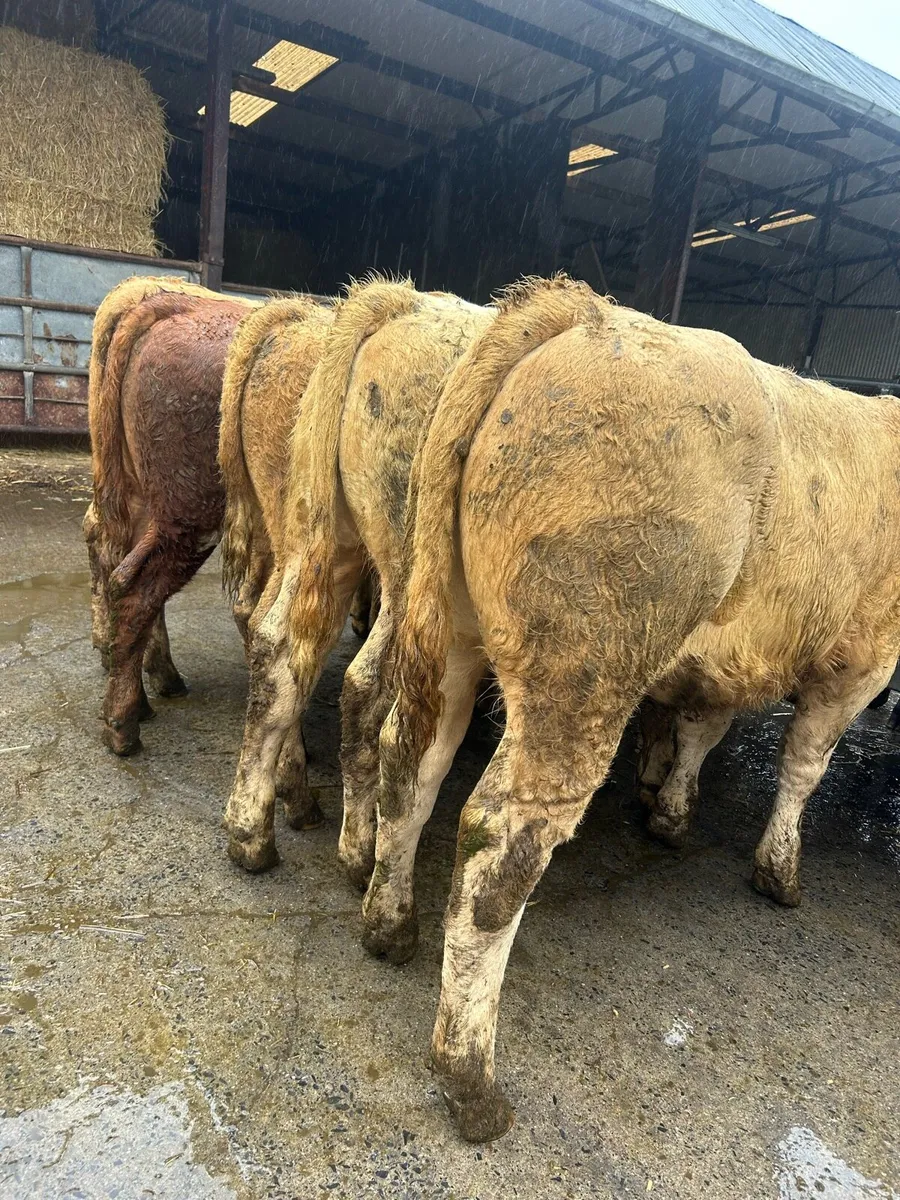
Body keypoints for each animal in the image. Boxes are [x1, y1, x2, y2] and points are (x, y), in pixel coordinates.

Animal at [87, 277, 255, 755]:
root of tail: (165, 303)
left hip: (135, 499)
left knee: (110, 558)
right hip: (188, 518)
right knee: (135, 587)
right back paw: (124, 724)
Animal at [221, 278, 493, 884]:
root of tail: (398, 304)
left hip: (319, 538)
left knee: (274, 640)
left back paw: (256, 829)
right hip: (406, 571)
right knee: (365, 686)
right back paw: (356, 848)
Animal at [375, 275, 900, 1141]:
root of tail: (576, 312)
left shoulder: (726, 664)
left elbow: (701, 728)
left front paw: (672, 813)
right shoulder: (860, 659)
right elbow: (804, 766)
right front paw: (779, 870)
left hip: (447, 628)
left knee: (409, 762)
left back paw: (387, 926)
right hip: (582, 676)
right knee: (501, 846)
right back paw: (469, 1078)